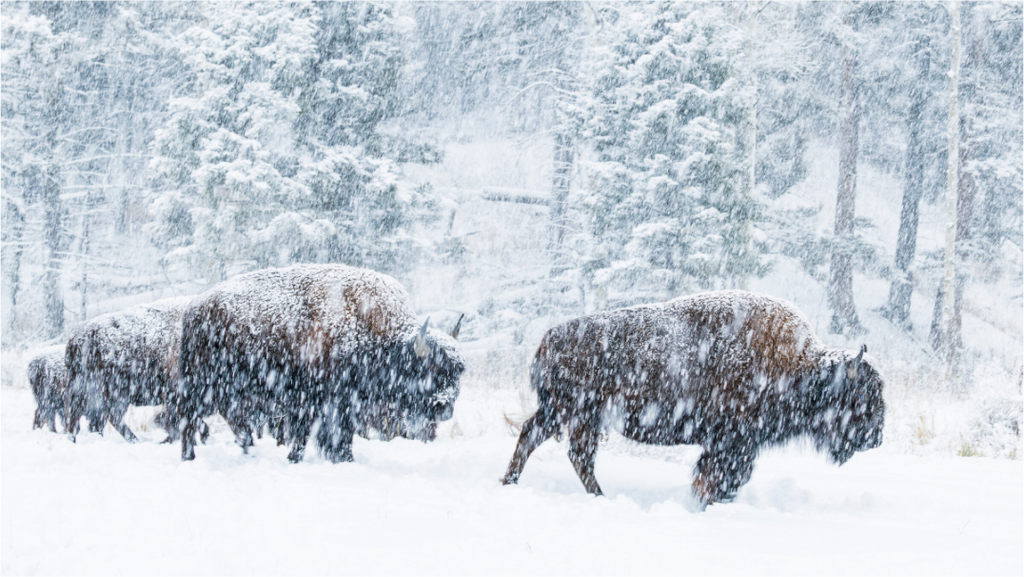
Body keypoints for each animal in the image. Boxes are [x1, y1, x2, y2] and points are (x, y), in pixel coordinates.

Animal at [178, 264, 465, 462]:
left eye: (458, 373)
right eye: (429, 369)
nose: (444, 408)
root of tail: (195, 307)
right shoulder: (317, 400)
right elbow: (313, 434)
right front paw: (300, 458)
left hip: (230, 391)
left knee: (233, 420)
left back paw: (246, 449)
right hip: (200, 385)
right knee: (188, 420)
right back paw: (189, 457)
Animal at [502, 290, 885, 508]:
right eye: (861, 395)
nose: (877, 438)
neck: (799, 367)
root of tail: (549, 338)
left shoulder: (737, 446)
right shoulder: (731, 445)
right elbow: (719, 477)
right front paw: (705, 502)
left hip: (561, 412)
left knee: (533, 436)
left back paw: (509, 483)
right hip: (582, 415)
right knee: (577, 455)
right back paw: (599, 497)